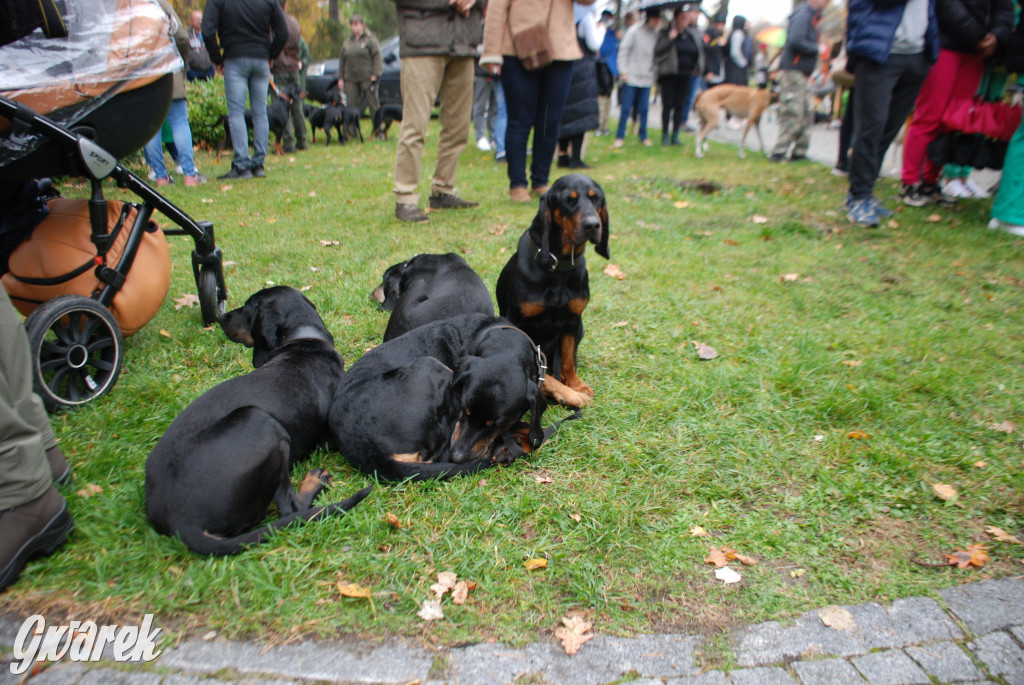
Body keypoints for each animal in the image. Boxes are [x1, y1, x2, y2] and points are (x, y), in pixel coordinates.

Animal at [142, 286, 370, 552]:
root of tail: (181, 522)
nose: (221, 317)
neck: (303, 339)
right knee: (290, 508)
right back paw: (315, 481)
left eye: (248, 308)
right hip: (262, 422)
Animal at [331, 313, 548, 479]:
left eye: (495, 424)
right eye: (465, 410)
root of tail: (372, 454)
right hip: (430, 365)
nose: (457, 457)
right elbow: (532, 433)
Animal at [495, 174, 606, 409]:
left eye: (596, 198)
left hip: (581, 328)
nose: (593, 225)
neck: (558, 268)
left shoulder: (573, 320)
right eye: (568, 199)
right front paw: (567, 391)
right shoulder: (517, 320)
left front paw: (575, 385)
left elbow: (568, 359)